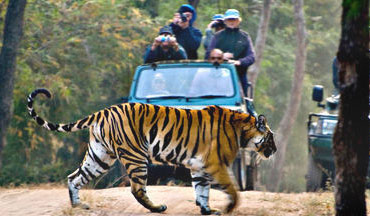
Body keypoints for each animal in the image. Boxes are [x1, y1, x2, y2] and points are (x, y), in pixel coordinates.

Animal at [27, 88, 276, 214]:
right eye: (271, 137)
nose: (274, 150)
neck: (242, 130)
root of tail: (103, 112)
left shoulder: (200, 165)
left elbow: (201, 189)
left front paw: (207, 209)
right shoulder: (216, 163)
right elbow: (231, 188)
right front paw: (229, 207)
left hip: (100, 157)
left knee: (74, 177)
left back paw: (79, 206)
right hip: (135, 155)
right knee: (137, 188)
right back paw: (157, 208)